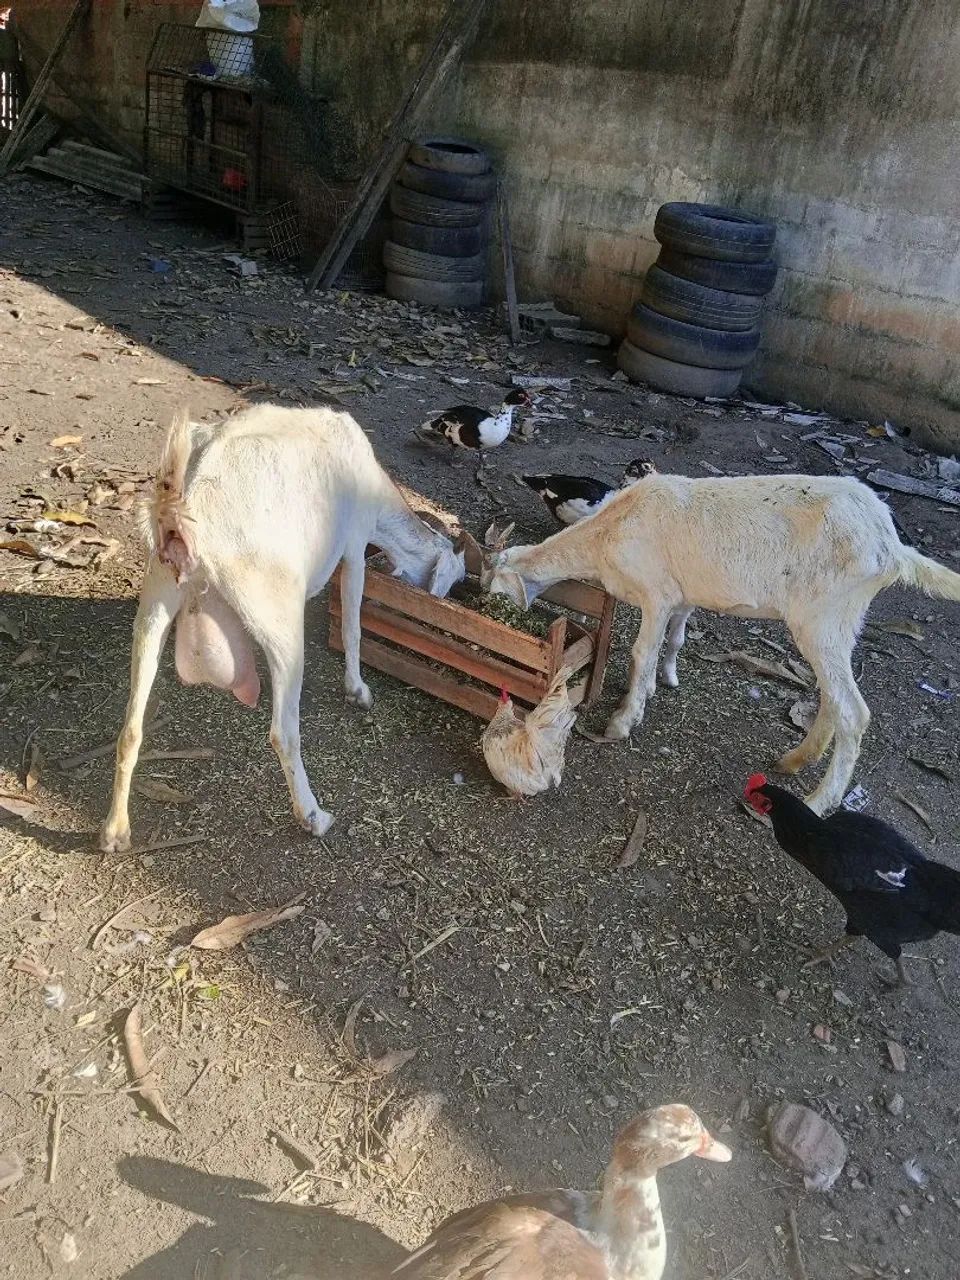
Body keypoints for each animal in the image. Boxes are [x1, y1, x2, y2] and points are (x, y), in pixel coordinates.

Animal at [100, 403, 466, 853]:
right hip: (278, 616)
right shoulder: (355, 544)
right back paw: (313, 816)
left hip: (156, 595)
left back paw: (115, 832)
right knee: (282, 731)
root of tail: (187, 506)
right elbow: (352, 624)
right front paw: (358, 690)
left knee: (130, 728)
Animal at [481, 472, 960, 814]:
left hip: (821, 617)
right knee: (833, 697)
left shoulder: (656, 593)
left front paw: (621, 722)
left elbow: (641, 653)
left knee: (854, 712)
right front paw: (658, 685)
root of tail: (892, 547)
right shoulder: (680, 596)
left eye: (495, 591)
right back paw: (795, 760)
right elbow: (673, 639)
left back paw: (819, 800)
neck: (610, 531)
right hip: (841, 621)